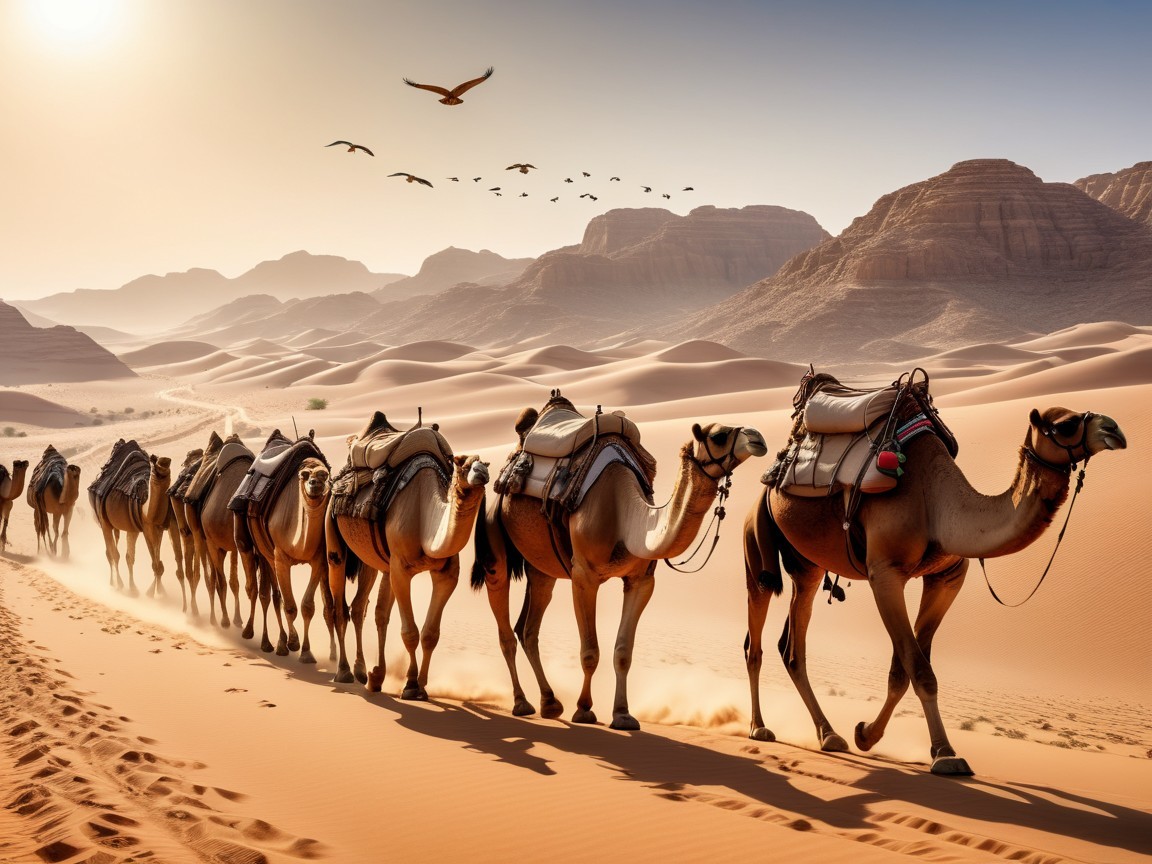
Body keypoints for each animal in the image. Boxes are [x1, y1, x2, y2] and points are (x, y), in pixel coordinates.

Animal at [88, 442, 183, 598]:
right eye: (155, 462)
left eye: (167, 462)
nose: (165, 462)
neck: (146, 508)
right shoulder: (147, 527)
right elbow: (156, 565)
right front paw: (154, 593)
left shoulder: (157, 527)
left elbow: (158, 564)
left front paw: (160, 592)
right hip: (103, 520)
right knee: (113, 554)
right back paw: (117, 584)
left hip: (131, 528)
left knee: (128, 557)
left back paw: (132, 588)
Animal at [326, 452, 491, 697]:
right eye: (463, 463)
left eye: (485, 464)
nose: (482, 473)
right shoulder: (401, 569)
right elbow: (410, 632)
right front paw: (411, 684)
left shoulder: (447, 574)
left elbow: (430, 634)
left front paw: (422, 685)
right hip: (333, 536)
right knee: (340, 606)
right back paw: (344, 671)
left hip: (372, 560)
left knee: (364, 608)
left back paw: (368, 673)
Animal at [473, 404, 767, 730]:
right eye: (719, 435)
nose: (757, 437)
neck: (626, 517)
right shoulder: (584, 575)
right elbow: (590, 651)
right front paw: (584, 709)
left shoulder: (641, 580)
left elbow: (623, 652)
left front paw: (623, 715)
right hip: (494, 534)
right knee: (505, 625)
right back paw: (522, 702)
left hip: (542, 567)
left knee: (528, 628)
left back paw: (549, 703)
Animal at [743, 404, 1127, 776]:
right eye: (1065, 425)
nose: (1115, 430)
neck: (938, 506)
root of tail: (767, 483)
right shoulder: (885, 573)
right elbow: (920, 670)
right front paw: (946, 755)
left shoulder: (947, 576)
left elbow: (903, 670)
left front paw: (866, 734)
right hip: (758, 544)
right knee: (759, 640)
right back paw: (760, 727)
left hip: (808, 563)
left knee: (789, 645)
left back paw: (830, 734)